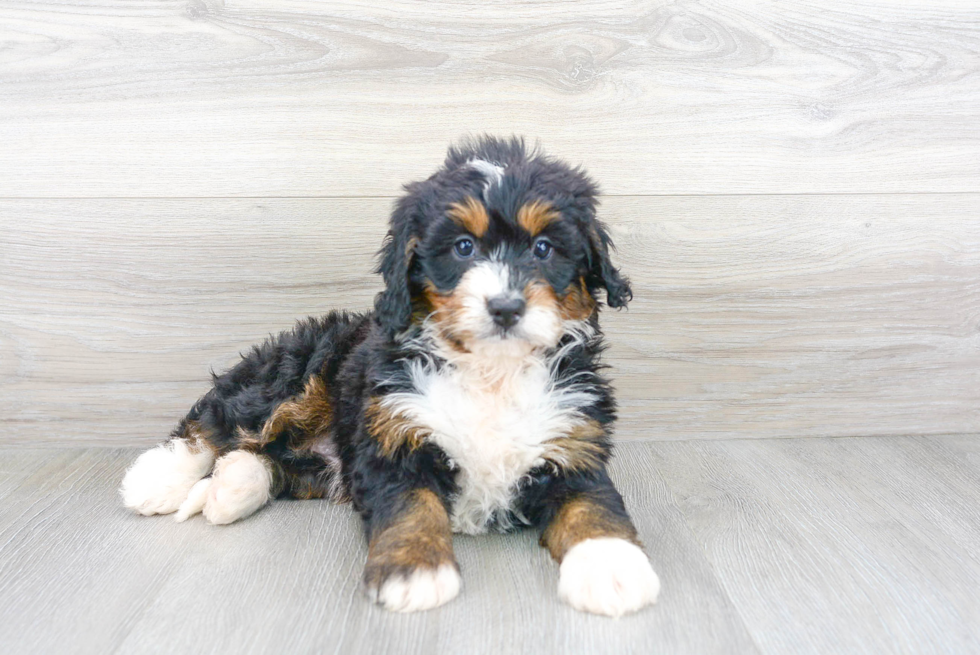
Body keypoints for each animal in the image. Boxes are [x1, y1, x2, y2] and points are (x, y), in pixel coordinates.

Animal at [120, 136, 660, 616]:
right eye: (463, 247)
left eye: (544, 248)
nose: (506, 307)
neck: (491, 371)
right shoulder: (393, 439)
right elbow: (411, 507)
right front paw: (414, 570)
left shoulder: (574, 442)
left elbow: (593, 504)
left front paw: (612, 568)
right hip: (300, 369)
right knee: (220, 419)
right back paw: (157, 479)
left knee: (270, 461)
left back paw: (231, 487)